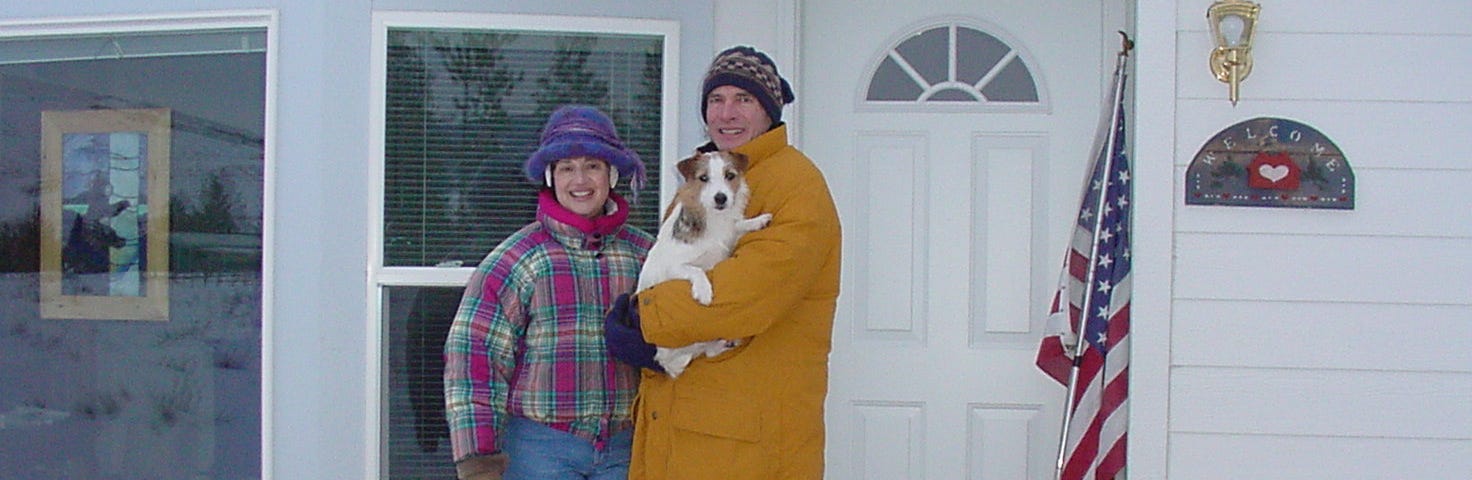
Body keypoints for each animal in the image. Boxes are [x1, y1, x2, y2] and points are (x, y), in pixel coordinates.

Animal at [632, 150, 771, 379]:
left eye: (730, 175)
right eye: (703, 178)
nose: (721, 197)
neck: (714, 219)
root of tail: (667, 363)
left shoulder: (728, 240)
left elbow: (737, 226)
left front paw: (757, 221)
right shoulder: (675, 266)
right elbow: (696, 269)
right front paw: (704, 291)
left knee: (709, 351)